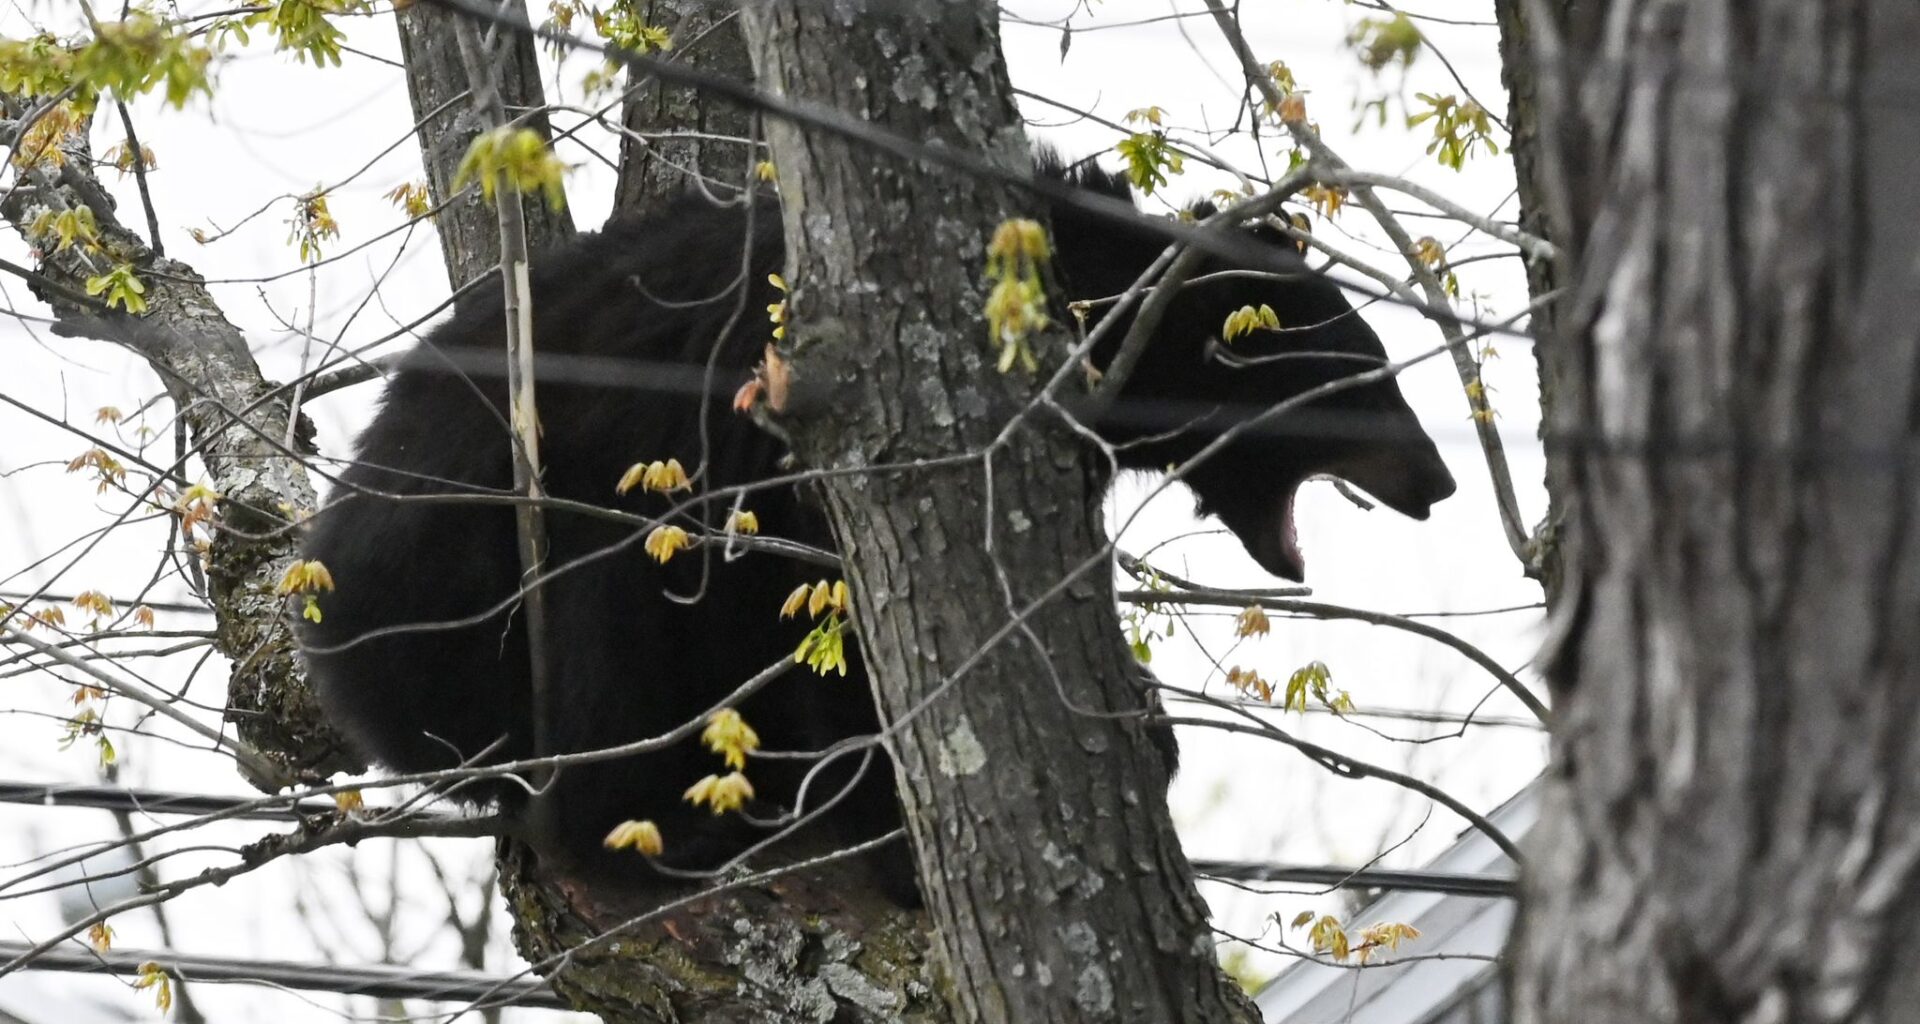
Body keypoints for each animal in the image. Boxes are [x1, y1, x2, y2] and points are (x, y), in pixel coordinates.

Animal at [297, 152, 1457, 897]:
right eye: (1369, 380)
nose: (1440, 480)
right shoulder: (778, 442)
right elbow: (836, 623)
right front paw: (892, 824)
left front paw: (1144, 719)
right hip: (519, 560)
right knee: (606, 641)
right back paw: (662, 824)